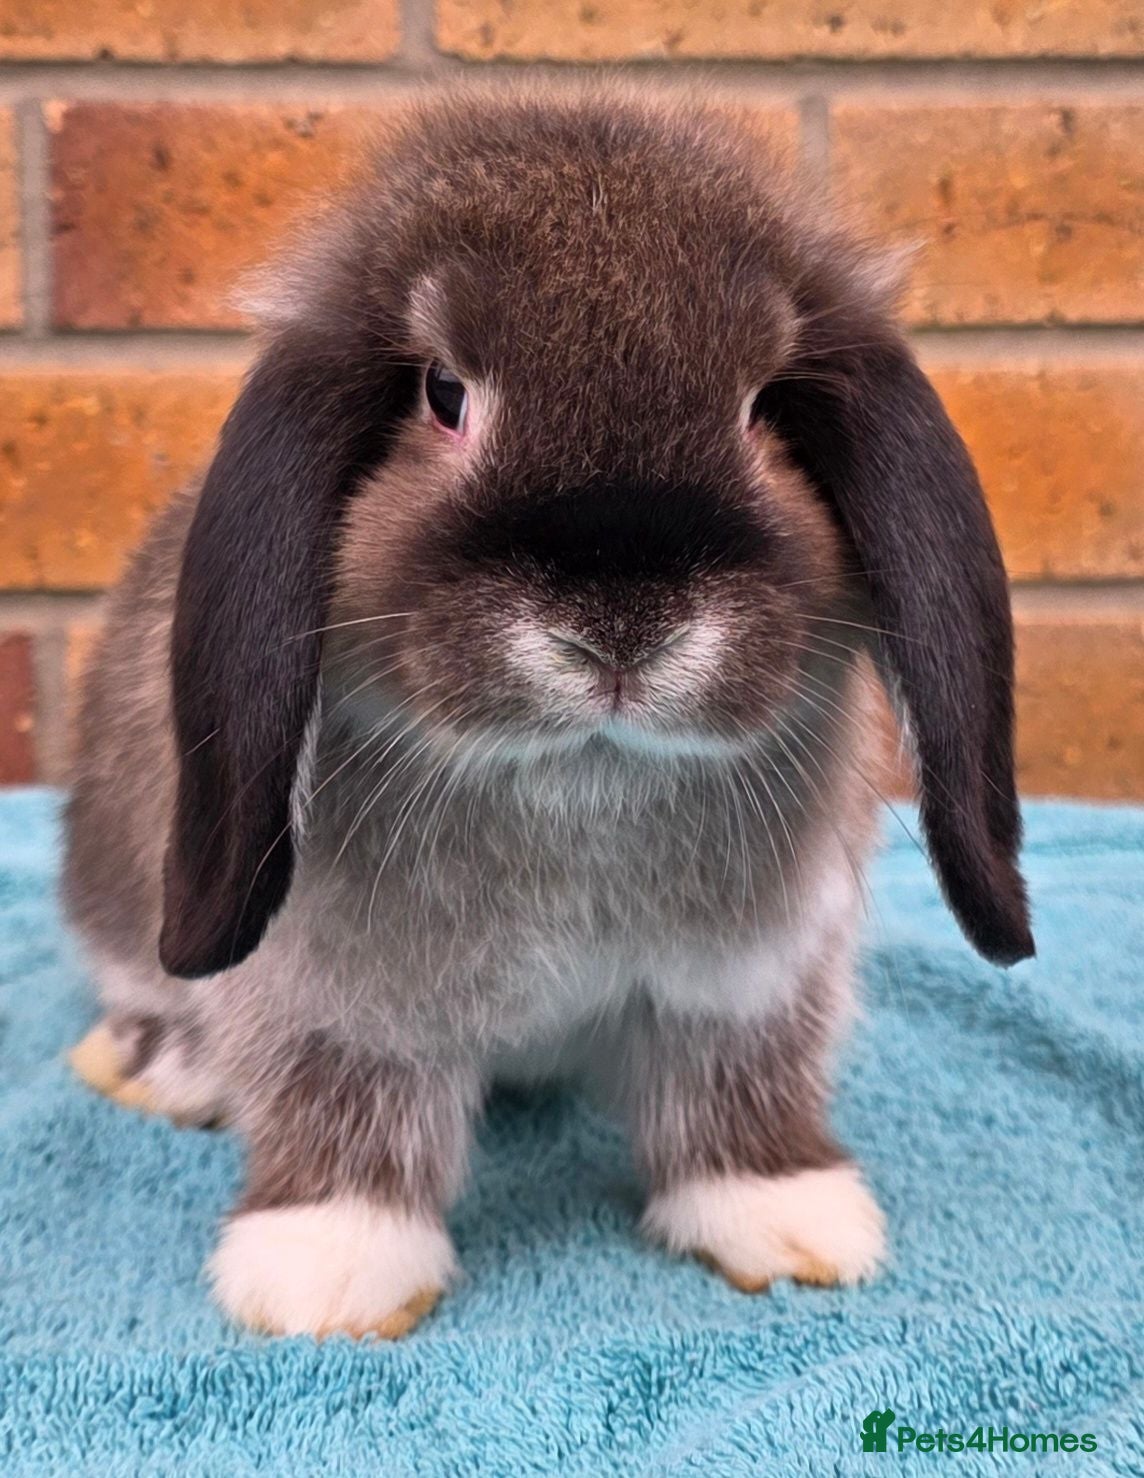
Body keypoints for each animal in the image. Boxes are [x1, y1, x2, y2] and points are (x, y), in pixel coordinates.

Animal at [62, 84, 1034, 1340]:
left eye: (764, 406)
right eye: (443, 393)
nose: (621, 627)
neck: (584, 778)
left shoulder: (747, 980)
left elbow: (733, 1083)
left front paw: (782, 1215)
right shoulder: (338, 993)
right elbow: (345, 1095)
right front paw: (329, 1269)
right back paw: (161, 1067)